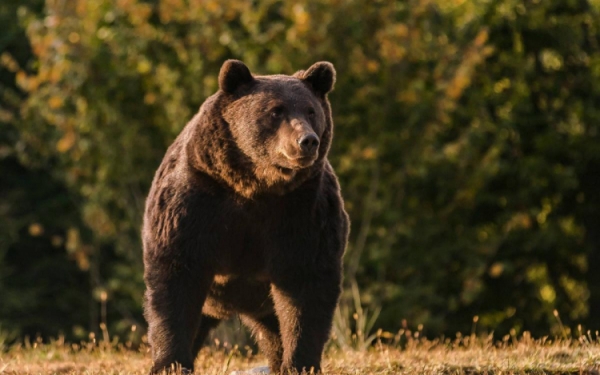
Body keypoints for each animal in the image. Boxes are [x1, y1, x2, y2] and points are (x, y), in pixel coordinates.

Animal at [142, 60, 350, 374]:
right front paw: (171, 363)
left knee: (274, 330)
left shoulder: (303, 211)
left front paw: (300, 363)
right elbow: (175, 277)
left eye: (311, 111)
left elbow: (306, 286)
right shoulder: (195, 202)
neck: (255, 185)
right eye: (276, 110)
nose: (307, 141)